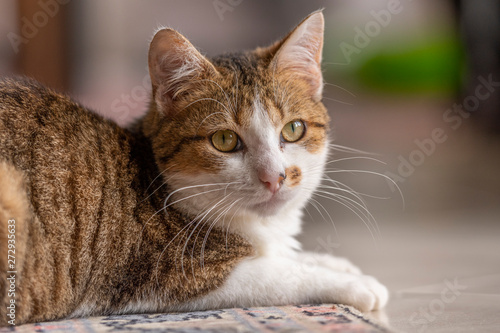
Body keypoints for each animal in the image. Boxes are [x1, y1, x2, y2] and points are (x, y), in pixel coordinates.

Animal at [0, 11, 388, 324]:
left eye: (294, 129)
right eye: (225, 140)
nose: (275, 177)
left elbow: (289, 256)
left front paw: (332, 261)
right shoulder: (172, 274)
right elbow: (281, 275)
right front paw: (355, 282)